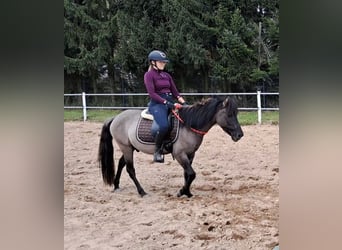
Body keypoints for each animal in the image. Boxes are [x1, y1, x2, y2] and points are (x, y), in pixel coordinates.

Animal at [97, 96, 244, 198]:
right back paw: (142, 191)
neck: (188, 125)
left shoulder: (190, 154)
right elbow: (192, 173)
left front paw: (187, 192)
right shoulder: (179, 154)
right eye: (229, 114)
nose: (240, 135)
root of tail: (115, 117)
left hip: (130, 147)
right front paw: (181, 191)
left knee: (121, 163)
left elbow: (187, 174)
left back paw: (116, 185)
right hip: (126, 147)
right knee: (130, 169)